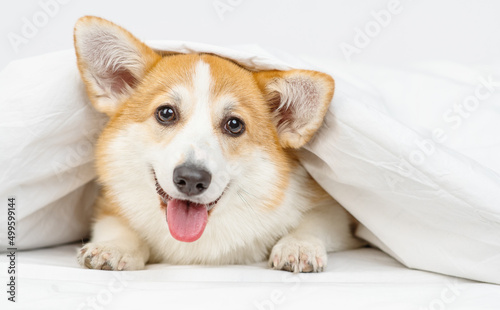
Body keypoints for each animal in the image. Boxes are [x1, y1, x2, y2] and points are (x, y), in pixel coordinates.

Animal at [74, 15, 364, 272]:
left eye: (234, 125)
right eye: (166, 113)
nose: (191, 179)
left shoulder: (333, 212)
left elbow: (315, 224)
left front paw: (298, 246)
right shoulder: (108, 205)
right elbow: (115, 225)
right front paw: (114, 247)